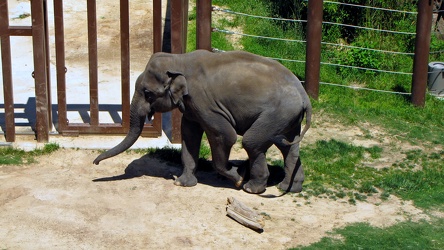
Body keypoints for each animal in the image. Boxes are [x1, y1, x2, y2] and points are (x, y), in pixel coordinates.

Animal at [93, 49, 312, 194]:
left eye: (148, 93)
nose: (95, 163)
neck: (179, 60)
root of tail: (305, 96)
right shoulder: (191, 106)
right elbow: (189, 134)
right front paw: (182, 183)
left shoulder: (204, 102)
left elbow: (225, 135)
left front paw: (238, 178)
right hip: (287, 118)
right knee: (287, 146)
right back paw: (289, 188)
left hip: (276, 113)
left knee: (252, 142)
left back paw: (251, 188)